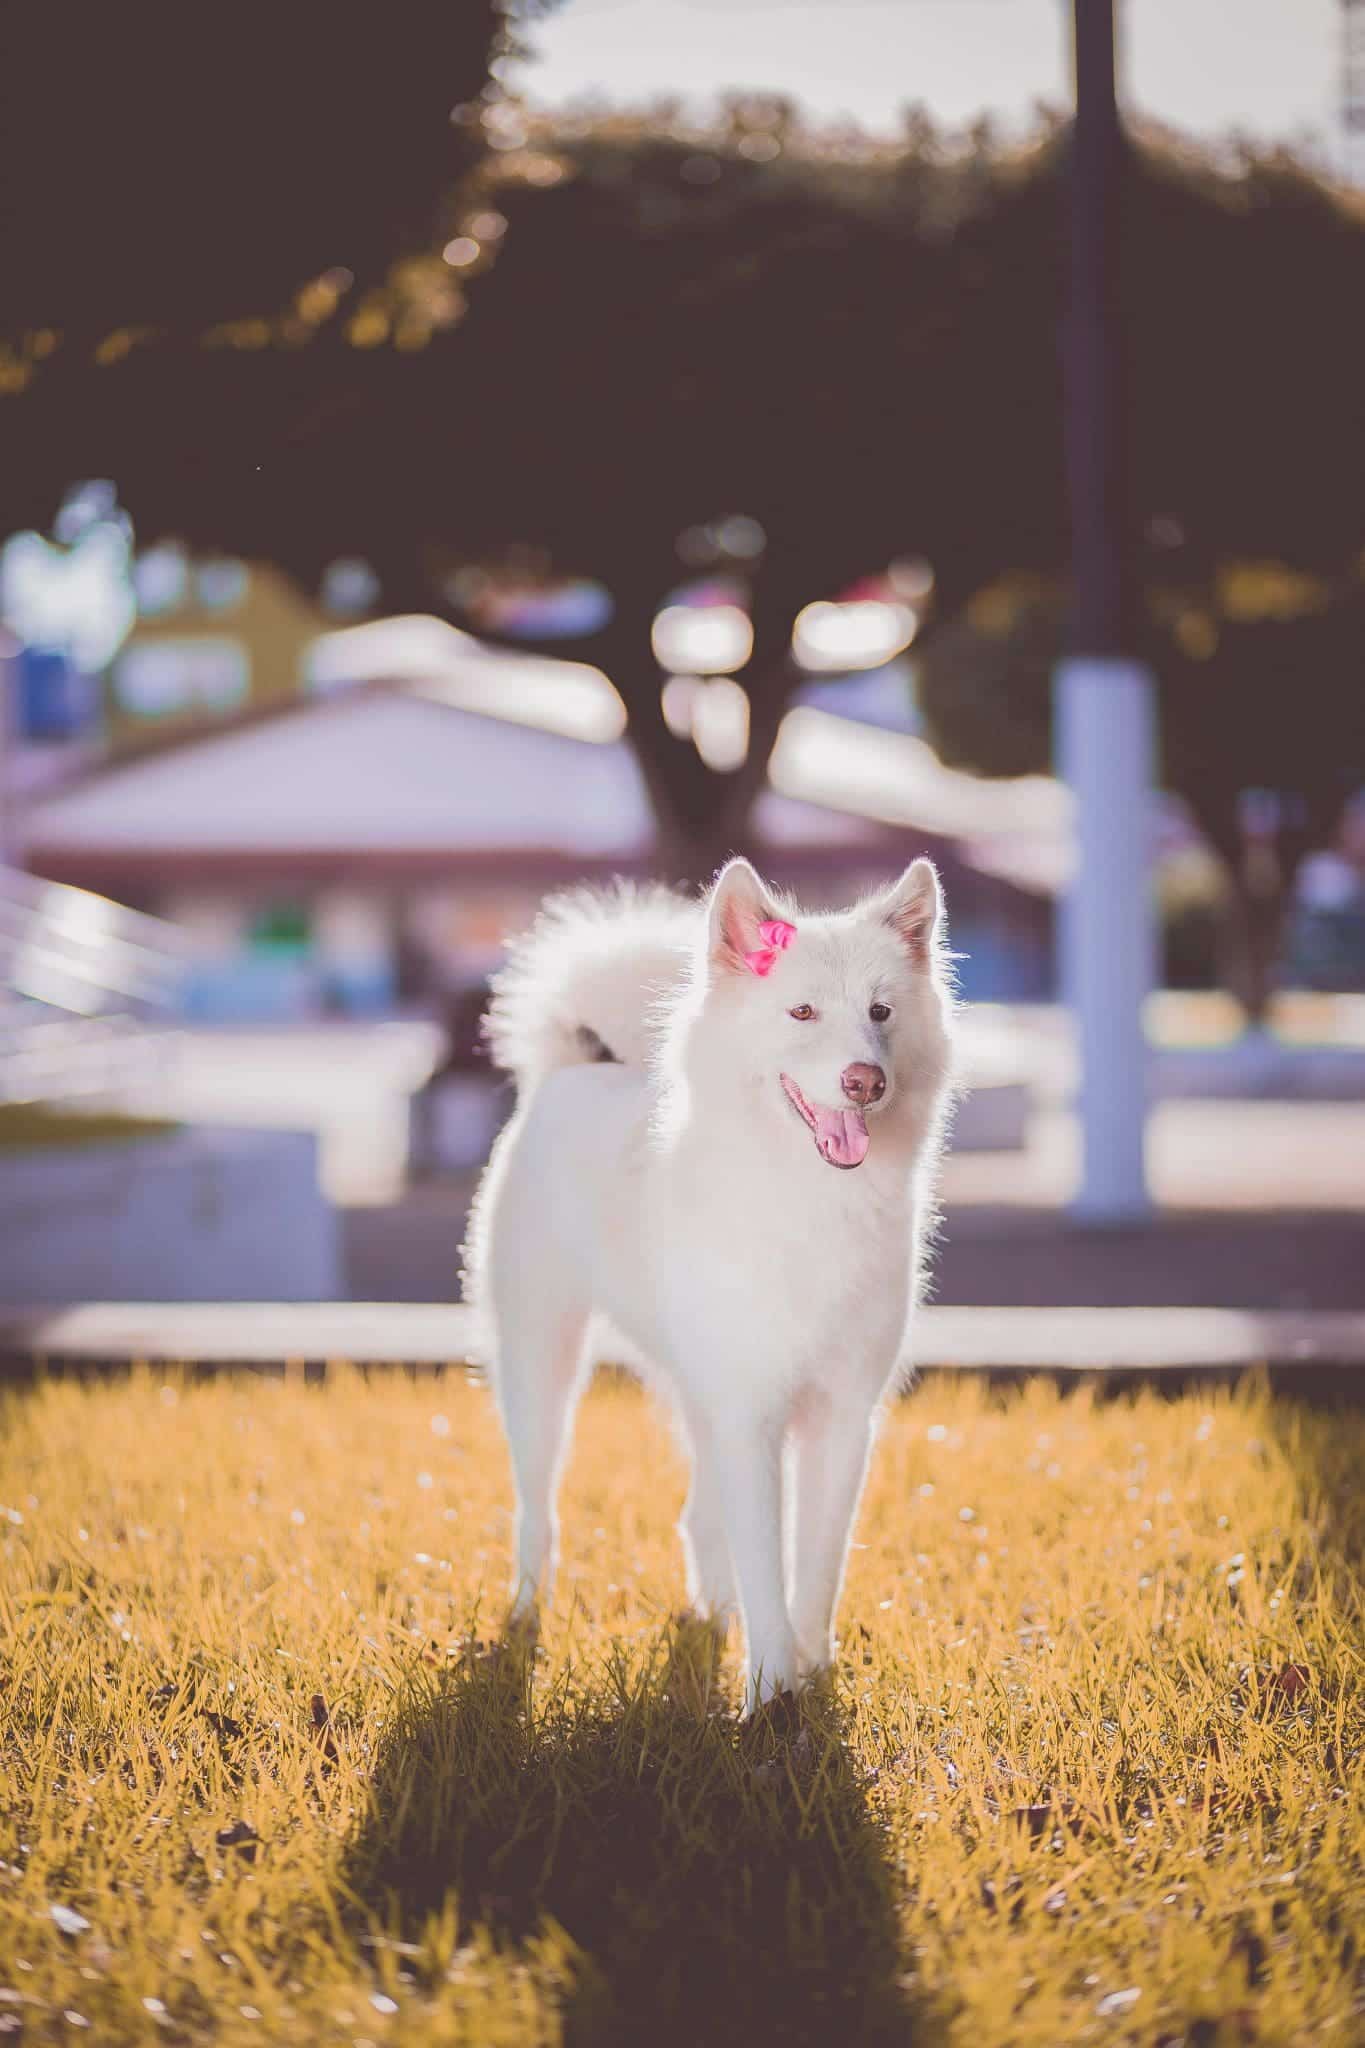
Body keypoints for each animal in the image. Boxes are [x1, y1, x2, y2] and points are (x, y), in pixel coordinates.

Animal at [464, 856, 957, 1703]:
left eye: (880, 1011)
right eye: (801, 1011)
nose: (863, 1081)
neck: (806, 1201)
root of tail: (578, 1066)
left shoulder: (839, 1419)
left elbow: (815, 1567)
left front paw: (811, 1673)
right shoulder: (748, 1414)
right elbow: (765, 1562)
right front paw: (769, 1692)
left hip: (691, 1386)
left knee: (698, 1517)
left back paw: (713, 1613)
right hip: (539, 1366)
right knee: (538, 1511)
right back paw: (525, 1617)